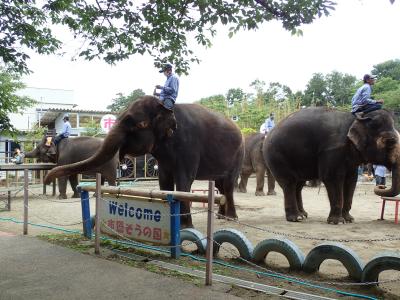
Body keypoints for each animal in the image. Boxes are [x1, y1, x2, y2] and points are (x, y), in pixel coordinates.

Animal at [43, 96, 244, 227]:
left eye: (140, 125)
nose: (47, 177)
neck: (165, 106)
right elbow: (164, 182)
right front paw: (172, 222)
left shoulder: (189, 146)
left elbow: (183, 182)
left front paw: (185, 226)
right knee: (220, 185)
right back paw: (221, 217)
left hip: (238, 156)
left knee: (228, 184)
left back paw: (232, 219)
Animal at [264, 108, 398, 223]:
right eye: (390, 142)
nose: (382, 187)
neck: (356, 118)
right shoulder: (332, 151)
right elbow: (332, 178)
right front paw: (337, 222)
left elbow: (351, 180)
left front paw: (349, 220)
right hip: (277, 157)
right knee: (289, 183)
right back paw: (296, 218)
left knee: (298, 185)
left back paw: (303, 215)